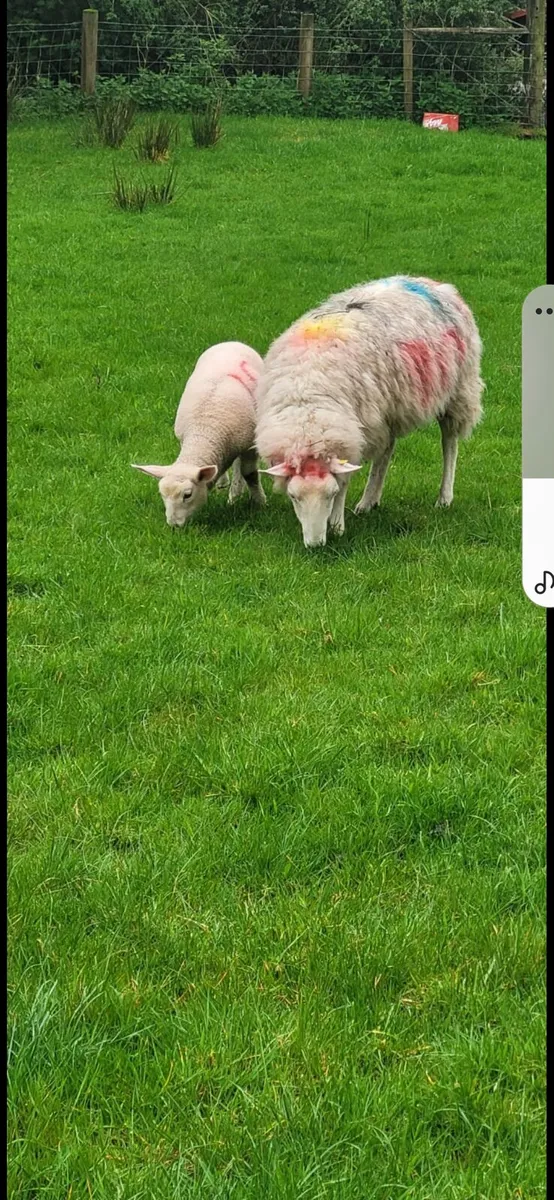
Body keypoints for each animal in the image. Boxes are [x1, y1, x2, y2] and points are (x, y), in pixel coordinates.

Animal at [132, 341, 266, 526]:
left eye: (187, 495)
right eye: (162, 495)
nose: (173, 525)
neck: (204, 431)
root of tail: (231, 342)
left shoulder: (249, 446)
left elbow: (250, 475)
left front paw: (260, 502)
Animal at [255, 276, 484, 547]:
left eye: (330, 494)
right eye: (293, 496)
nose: (315, 544)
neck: (308, 399)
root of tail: (432, 282)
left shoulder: (351, 435)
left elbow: (344, 481)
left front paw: (337, 525)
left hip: (457, 390)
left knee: (449, 442)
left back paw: (444, 497)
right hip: (389, 409)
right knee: (387, 450)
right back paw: (369, 501)